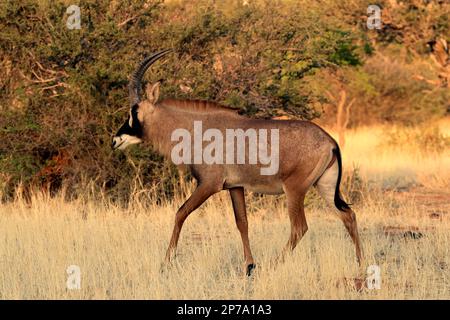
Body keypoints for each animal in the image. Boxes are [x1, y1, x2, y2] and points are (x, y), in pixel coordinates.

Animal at [112, 50, 362, 276]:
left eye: (134, 112)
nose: (115, 140)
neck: (196, 128)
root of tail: (330, 141)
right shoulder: (235, 187)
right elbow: (242, 222)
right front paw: (249, 266)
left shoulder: (208, 185)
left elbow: (180, 213)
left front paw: (166, 263)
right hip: (325, 187)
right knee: (348, 216)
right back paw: (360, 264)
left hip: (295, 190)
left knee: (300, 227)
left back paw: (274, 264)